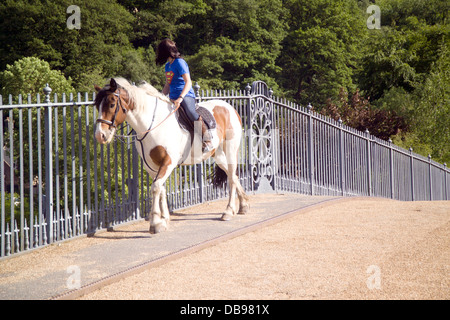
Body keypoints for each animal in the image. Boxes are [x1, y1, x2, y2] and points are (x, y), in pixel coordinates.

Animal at [93, 77, 250, 232]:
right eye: (97, 106)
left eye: (112, 104)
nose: (100, 135)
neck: (152, 124)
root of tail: (229, 107)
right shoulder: (151, 166)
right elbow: (161, 188)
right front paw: (164, 219)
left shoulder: (168, 162)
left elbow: (156, 187)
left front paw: (155, 223)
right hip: (217, 155)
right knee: (232, 175)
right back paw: (243, 205)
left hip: (231, 149)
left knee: (231, 177)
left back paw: (228, 211)